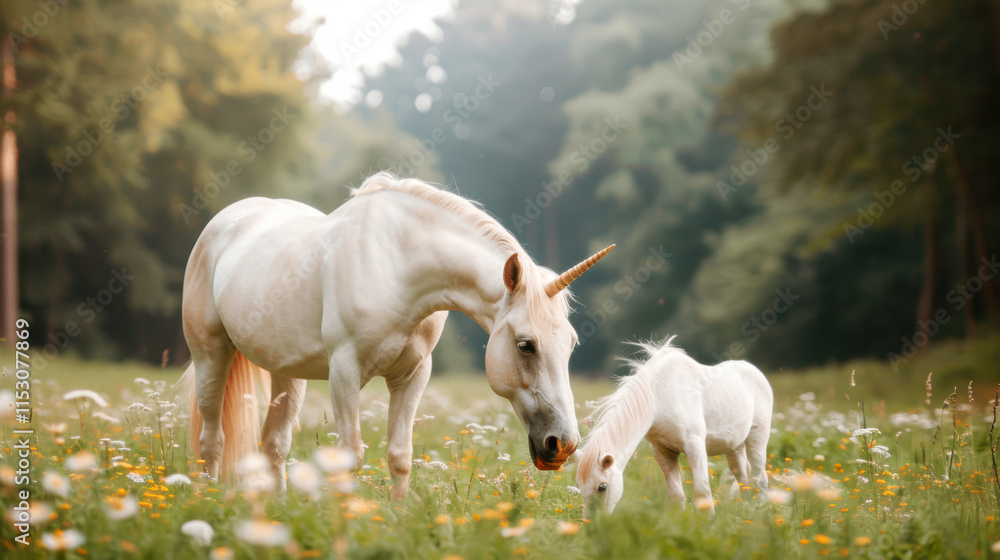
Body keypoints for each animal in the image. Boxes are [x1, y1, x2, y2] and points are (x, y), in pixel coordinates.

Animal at [179, 172, 614, 499]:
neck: (397, 266)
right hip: (211, 355)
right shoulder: (344, 373)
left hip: (288, 374)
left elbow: (400, 455)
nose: (563, 445)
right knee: (211, 439)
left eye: (571, 345)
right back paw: (208, 500)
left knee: (275, 443)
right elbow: (350, 455)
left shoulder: (412, 375)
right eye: (526, 345)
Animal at [574, 336, 772, 516]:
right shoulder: (664, 451)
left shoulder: (695, 446)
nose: (592, 524)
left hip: (758, 436)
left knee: (759, 476)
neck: (658, 396)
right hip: (734, 446)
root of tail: (757, 373)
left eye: (602, 487)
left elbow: (702, 492)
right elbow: (676, 495)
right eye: (580, 486)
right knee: (742, 476)